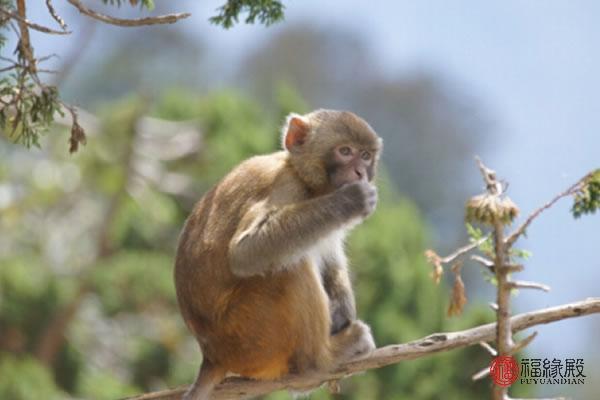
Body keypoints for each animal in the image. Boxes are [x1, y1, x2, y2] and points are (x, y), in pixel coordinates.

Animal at [173, 108, 382, 398]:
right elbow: (245, 252)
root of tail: (212, 356)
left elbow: (330, 255)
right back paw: (319, 364)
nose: (360, 171)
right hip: (250, 337)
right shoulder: (285, 187)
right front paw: (349, 201)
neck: (308, 183)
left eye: (365, 155)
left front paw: (342, 308)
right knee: (290, 268)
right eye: (345, 151)